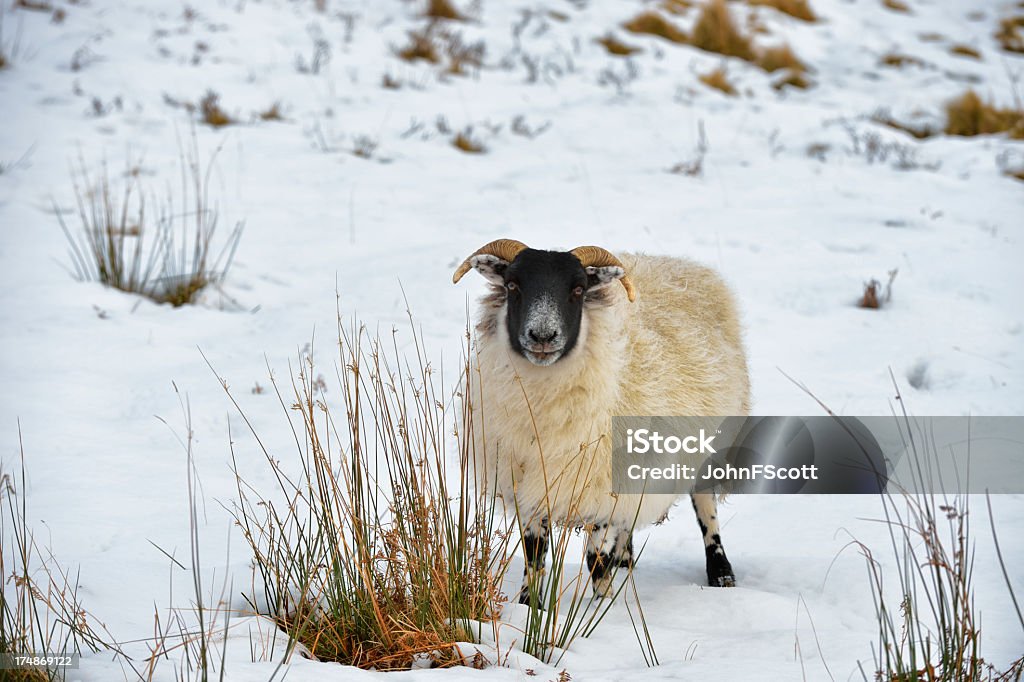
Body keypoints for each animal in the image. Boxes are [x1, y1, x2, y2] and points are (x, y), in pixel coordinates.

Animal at [452, 237, 749, 602]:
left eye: (578, 289)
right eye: (512, 285)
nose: (542, 336)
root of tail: (681, 264)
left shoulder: (599, 486)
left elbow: (595, 559)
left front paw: (601, 606)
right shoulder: (529, 483)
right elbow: (534, 557)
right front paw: (528, 606)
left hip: (712, 442)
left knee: (706, 508)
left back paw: (721, 574)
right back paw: (625, 560)